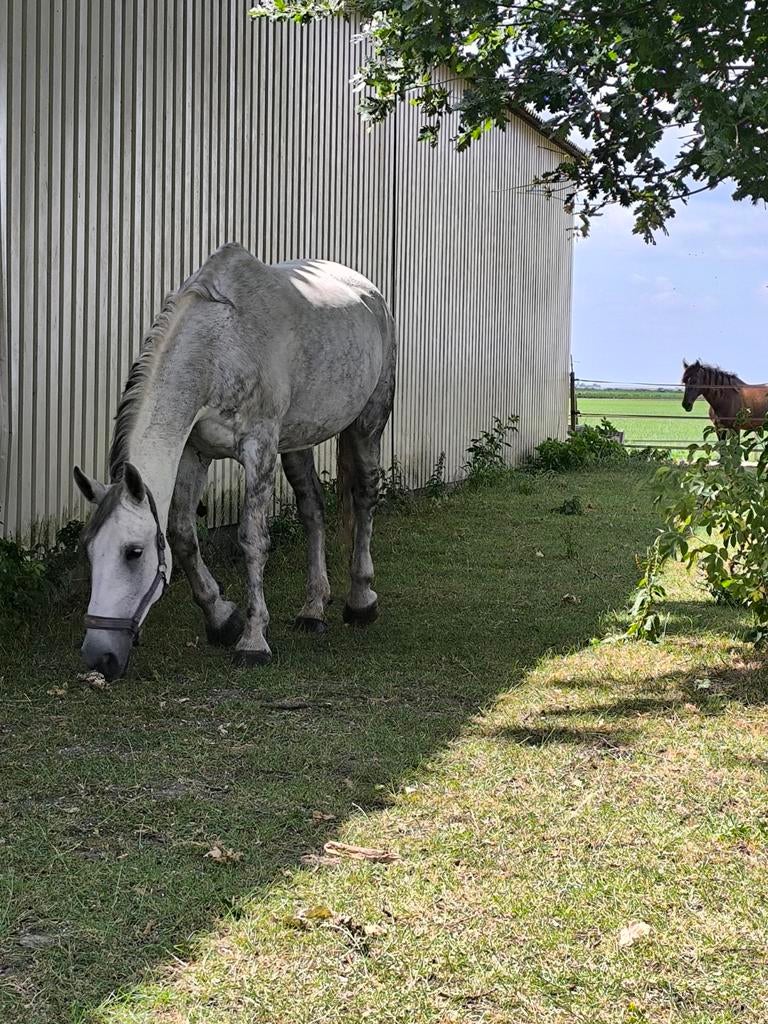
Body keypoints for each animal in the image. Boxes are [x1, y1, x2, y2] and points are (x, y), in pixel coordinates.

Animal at [73, 243, 397, 681]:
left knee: (363, 499)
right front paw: (222, 619)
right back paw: (313, 610)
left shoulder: (258, 449)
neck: (220, 344)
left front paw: (253, 640)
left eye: (133, 552)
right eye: (89, 550)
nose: (99, 656)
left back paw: (361, 601)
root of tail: (370, 294)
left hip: (367, 423)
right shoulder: (194, 452)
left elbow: (252, 540)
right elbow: (183, 535)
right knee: (312, 509)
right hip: (297, 439)